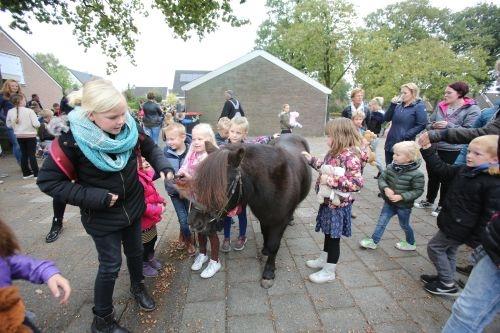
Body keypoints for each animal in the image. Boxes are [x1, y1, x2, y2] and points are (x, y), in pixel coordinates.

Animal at [188, 134, 310, 286]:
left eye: (221, 185)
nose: (194, 222)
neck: (273, 187)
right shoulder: (263, 216)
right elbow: (265, 233)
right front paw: (265, 249)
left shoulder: (280, 221)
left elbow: (274, 244)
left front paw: (269, 272)